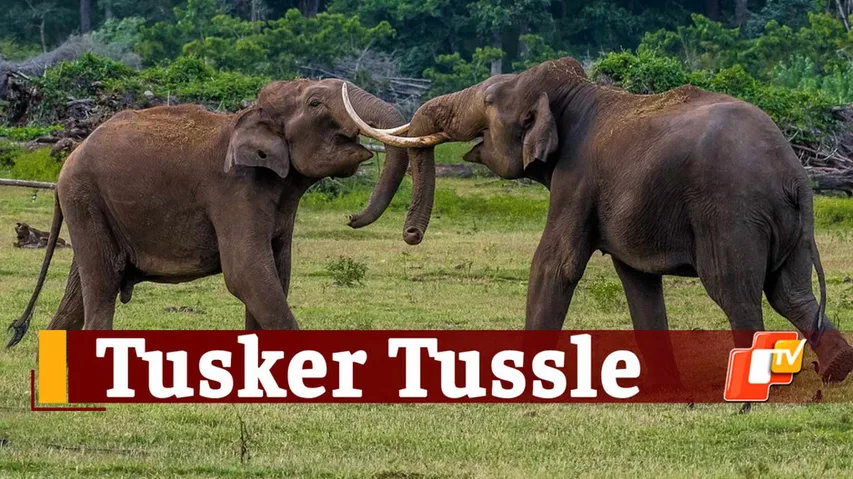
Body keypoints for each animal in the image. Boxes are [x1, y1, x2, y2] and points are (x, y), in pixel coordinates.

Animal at [7, 79, 410, 347]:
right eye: (314, 104)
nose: (352, 218)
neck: (250, 115)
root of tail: (69, 158)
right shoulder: (234, 190)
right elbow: (246, 273)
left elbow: (276, 273)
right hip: (85, 198)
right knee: (103, 282)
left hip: (92, 207)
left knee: (80, 288)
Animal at [343, 57, 853, 383]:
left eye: (488, 98)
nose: (411, 235)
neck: (578, 93)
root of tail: (794, 173)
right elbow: (637, 279)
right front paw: (662, 387)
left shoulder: (577, 179)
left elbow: (556, 262)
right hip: (784, 224)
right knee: (792, 293)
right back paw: (836, 370)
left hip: (730, 213)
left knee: (737, 293)